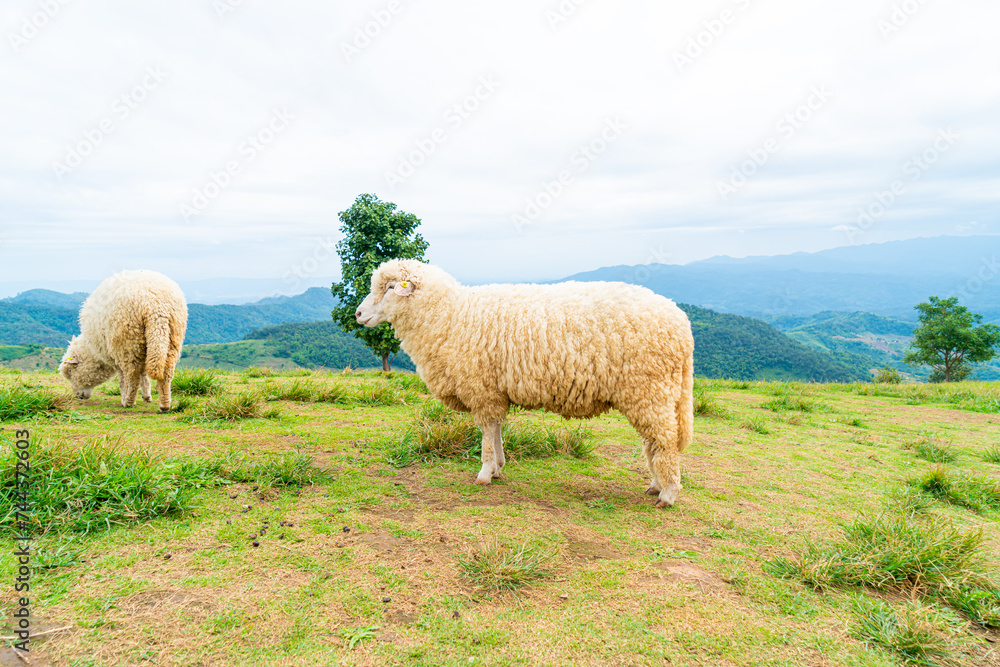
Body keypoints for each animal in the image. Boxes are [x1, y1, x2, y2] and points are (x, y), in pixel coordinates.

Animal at [59, 270, 188, 412]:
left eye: (70, 371)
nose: (78, 396)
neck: (94, 352)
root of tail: (156, 306)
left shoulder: (114, 356)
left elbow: (122, 379)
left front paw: (126, 396)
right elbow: (144, 375)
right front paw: (147, 397)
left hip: (127, 342)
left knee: (132, 375)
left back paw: (128, 401)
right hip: (171, 338)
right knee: (166, 373)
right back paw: (164, 404)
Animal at [355, 259, 694, 508]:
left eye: (389, 288)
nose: (358, 314)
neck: (450, 316)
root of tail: (681, 323)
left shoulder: (481, 388)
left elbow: (486, 434)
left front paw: (485, 472)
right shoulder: (494, 390)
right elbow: (496, 430)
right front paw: (499, 466)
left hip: (649, 389)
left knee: (664, 440)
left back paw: (668, 494)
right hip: (655, 393)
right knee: (655, 442)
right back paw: (655, 486)